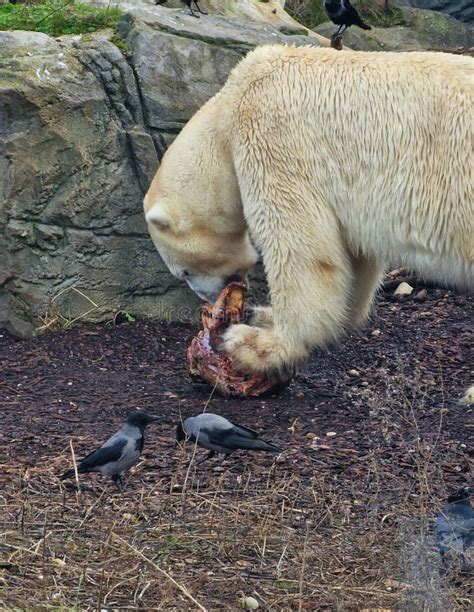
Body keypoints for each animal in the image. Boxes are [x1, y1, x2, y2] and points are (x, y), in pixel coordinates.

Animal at [144, 44, 474, 372]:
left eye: (184, 272)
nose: (212, 300)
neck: (230, 106)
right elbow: (353, 257)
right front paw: (264, 314)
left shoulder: (275, 140)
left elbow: (302, 248)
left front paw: (257, 343)